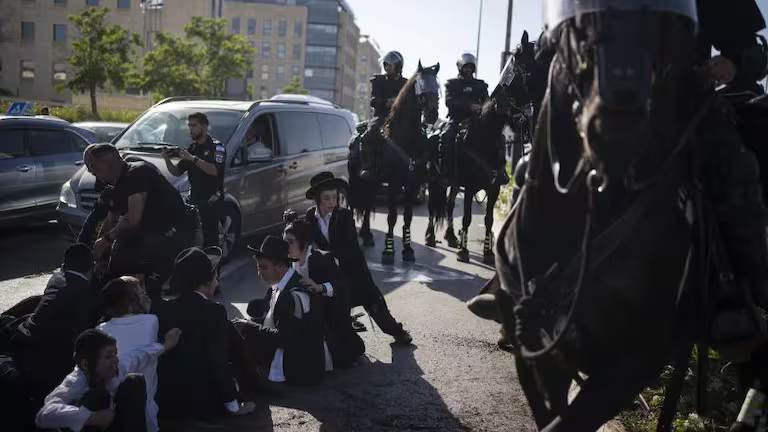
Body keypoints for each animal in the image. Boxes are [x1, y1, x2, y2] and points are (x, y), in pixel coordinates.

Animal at [352, 60, 440, 264]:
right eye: (421, 86)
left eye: (437, 87)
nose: (432, 115)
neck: (406, 137)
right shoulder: (393, 182)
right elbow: (392, 217)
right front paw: (389, 251)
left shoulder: (413, 184)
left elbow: (407, 217)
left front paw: (407, 249)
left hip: (373, 181)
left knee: (368, 203)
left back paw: (367, 235)